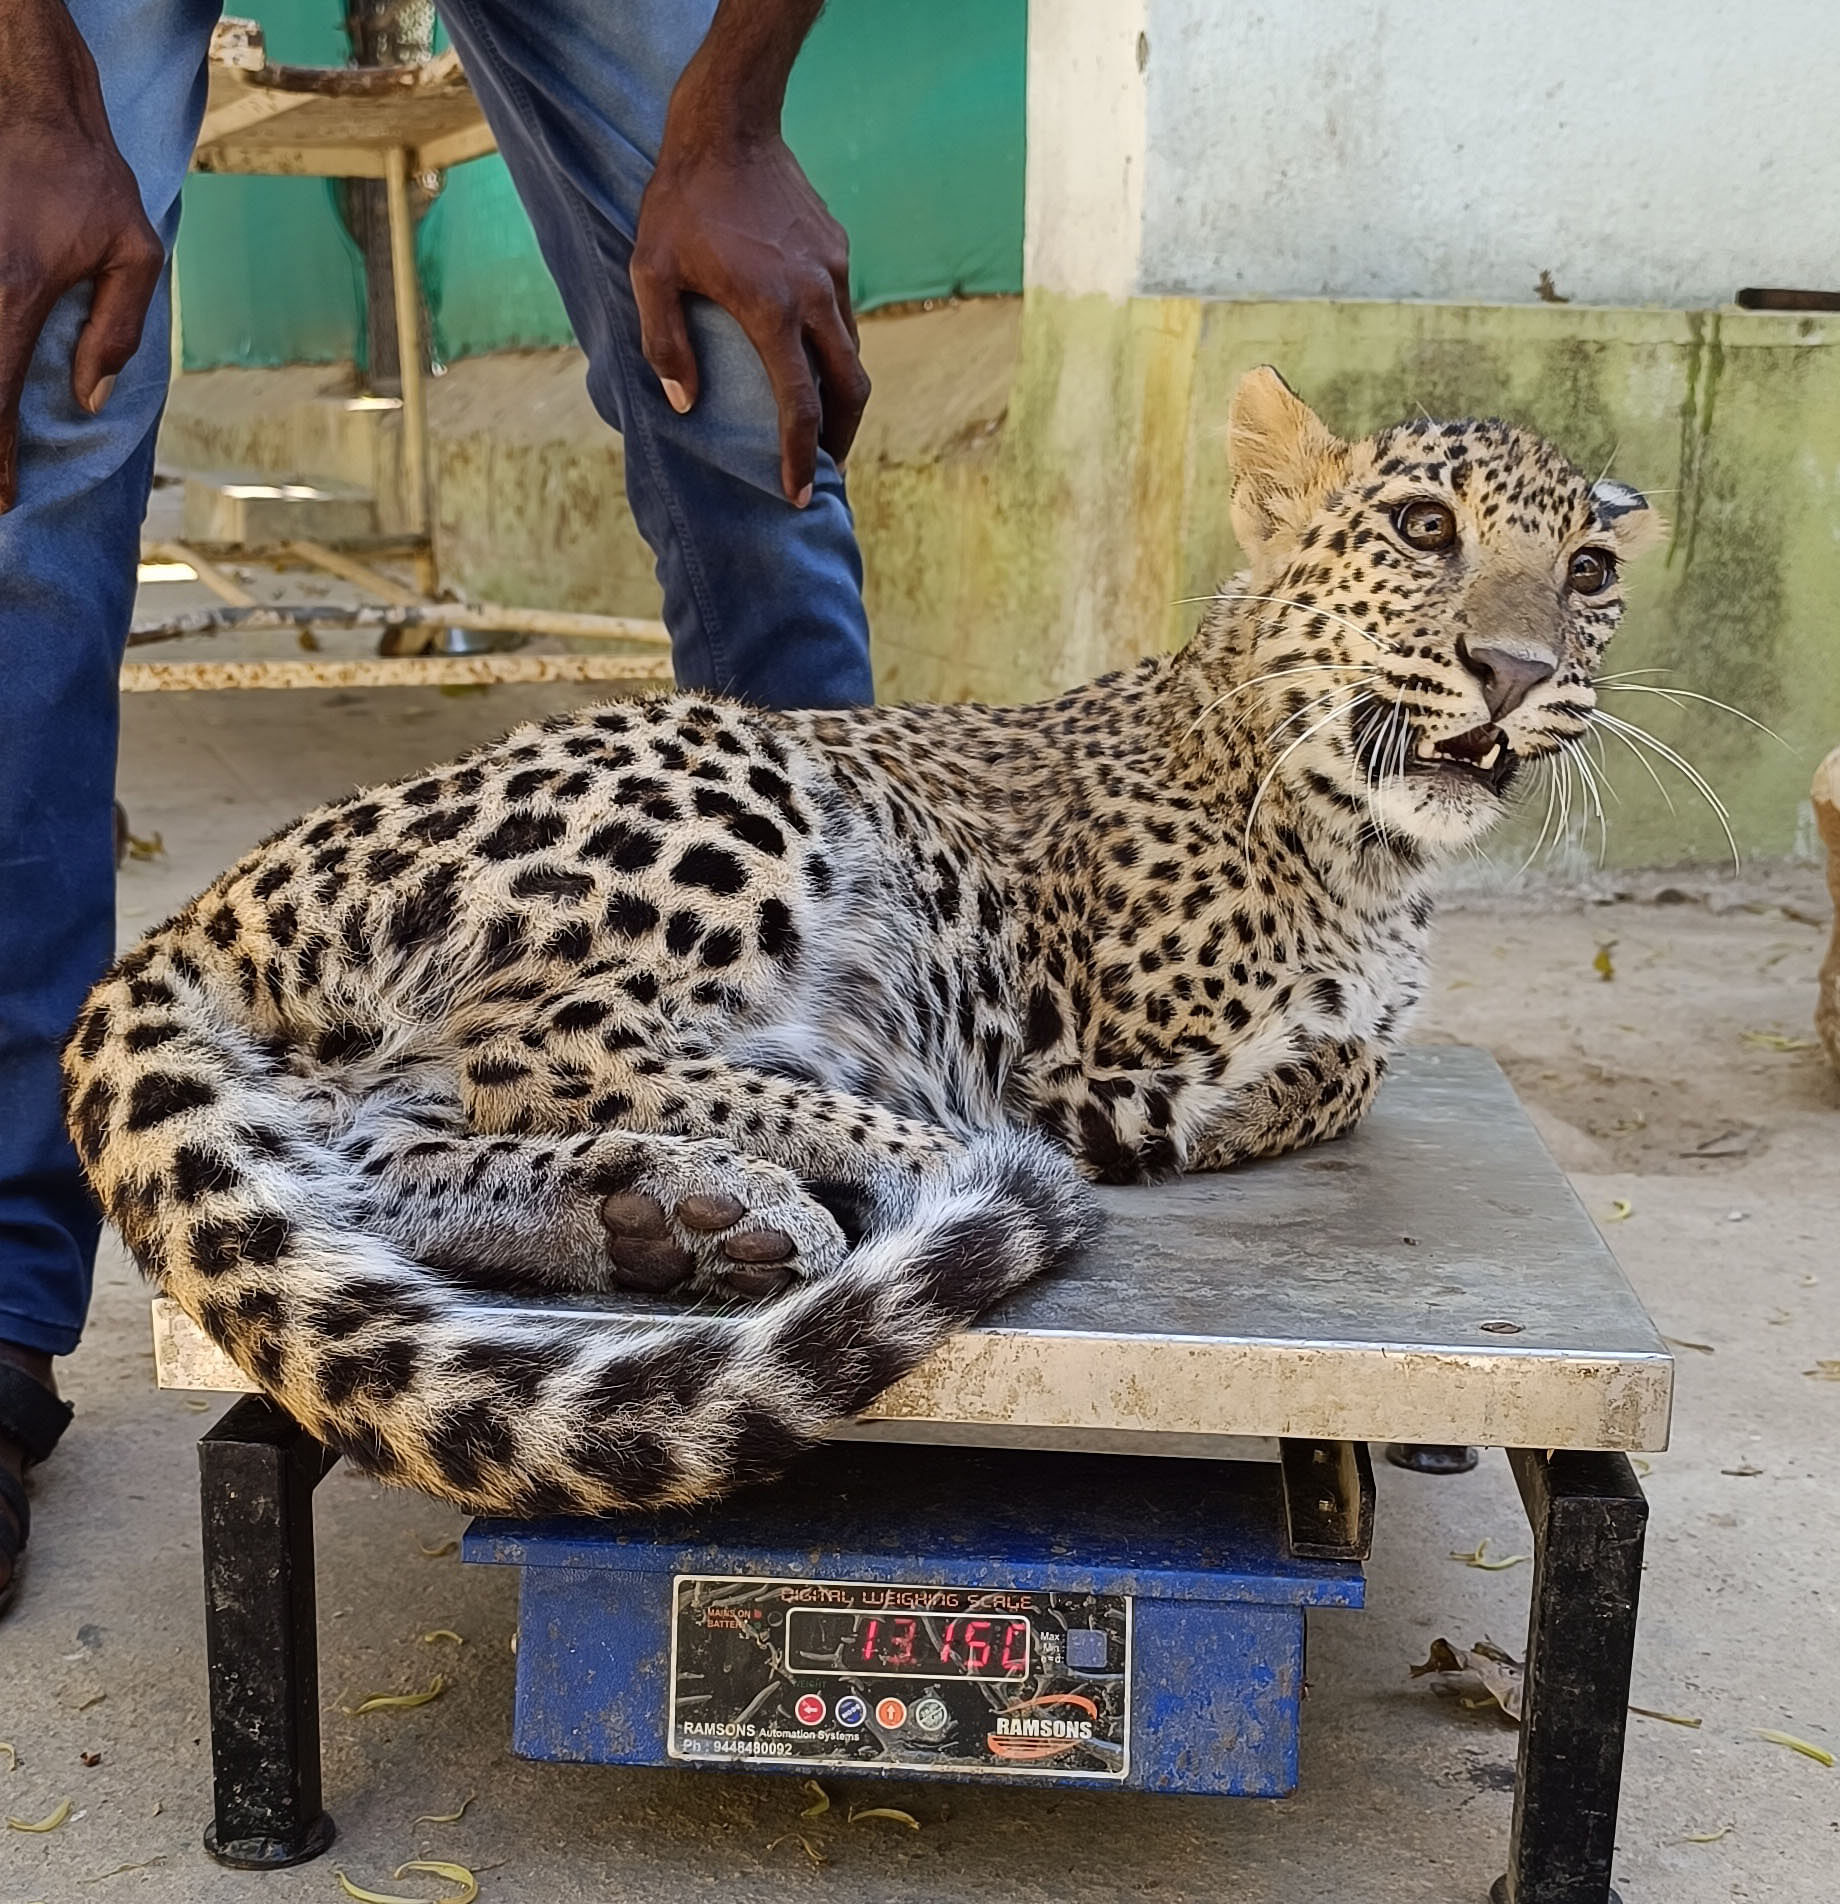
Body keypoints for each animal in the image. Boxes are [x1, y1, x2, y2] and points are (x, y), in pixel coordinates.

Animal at [61, 371, 1668, 1515]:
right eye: (1423, 530)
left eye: (1590, 570)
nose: (1513, 672)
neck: (1367, 852)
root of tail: (217, 898)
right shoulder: (1084, 1041)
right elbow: (1324, 1070)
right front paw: (1207, 1108)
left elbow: (1356, 1060)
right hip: (735, 782)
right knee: (542, 1048)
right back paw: (873, 1160)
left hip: (384, 1057)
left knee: (380, 1149)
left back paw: (667, 1216)